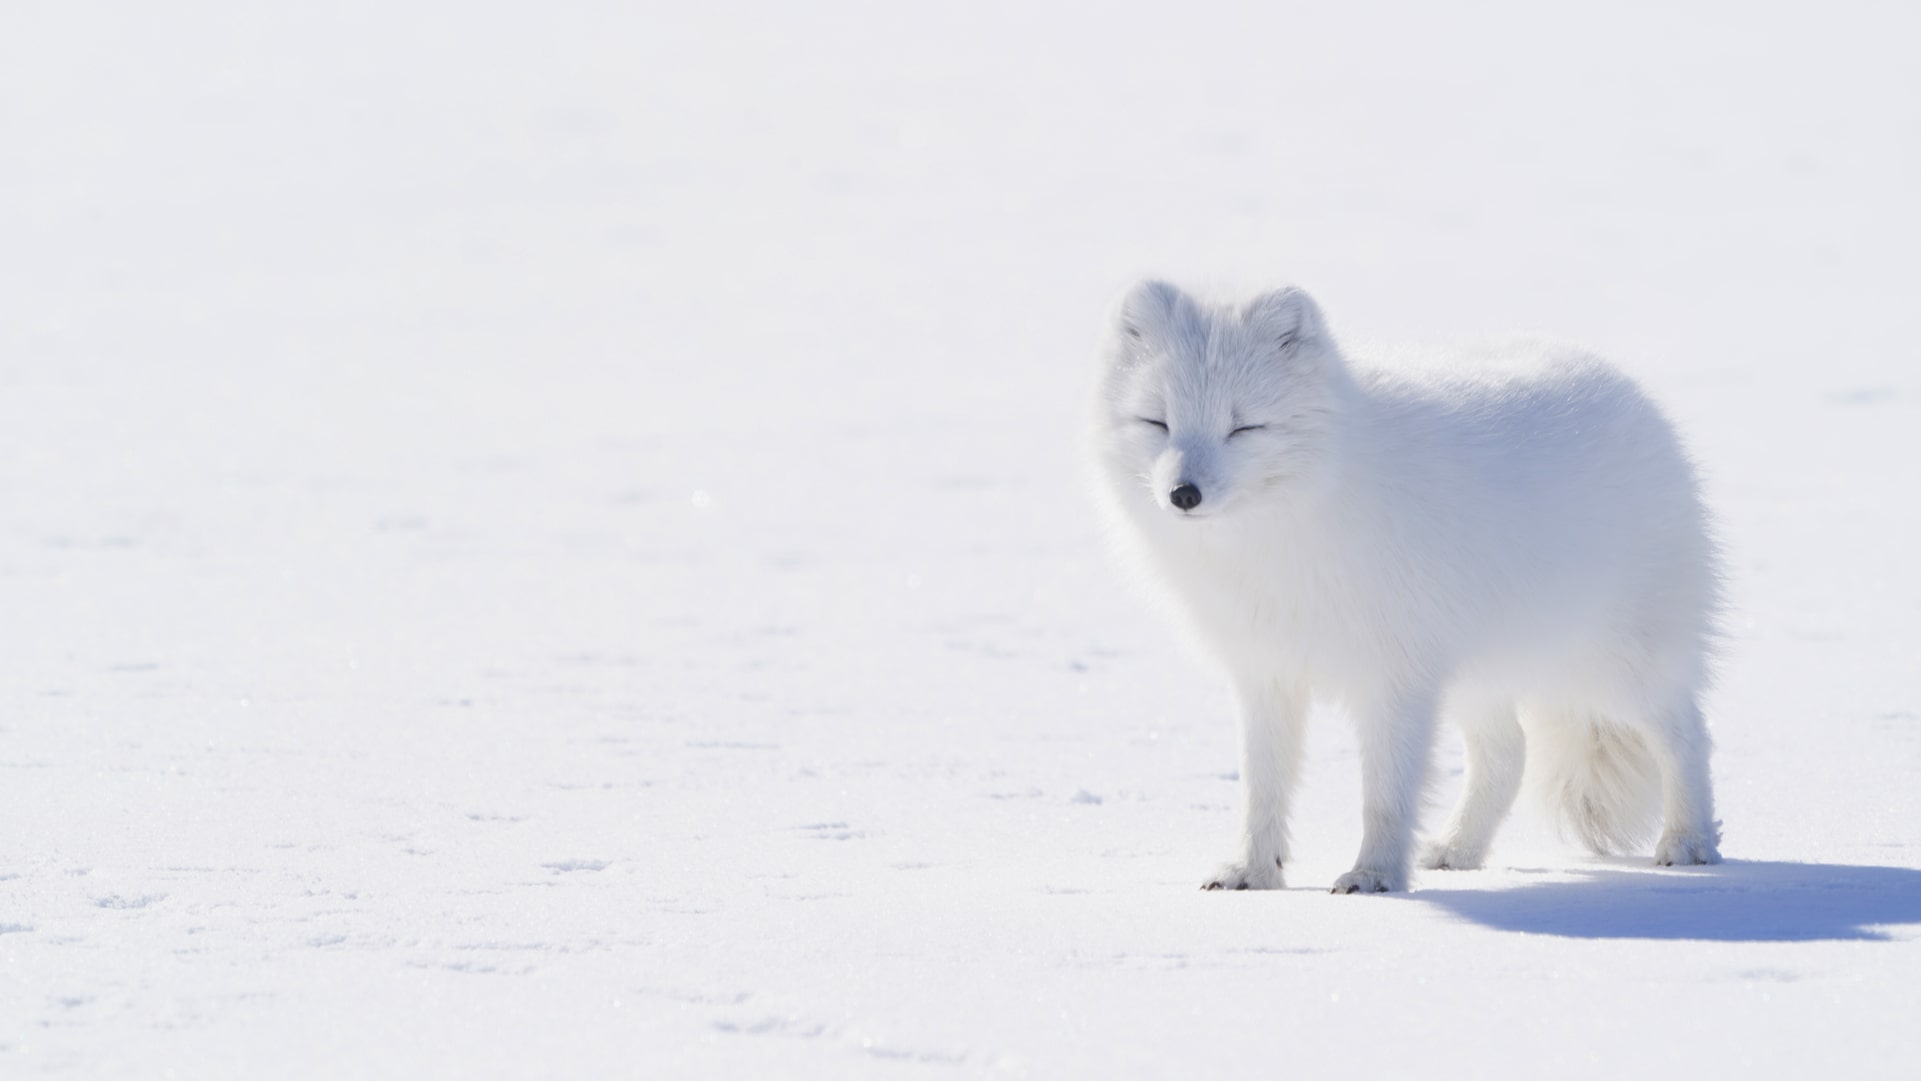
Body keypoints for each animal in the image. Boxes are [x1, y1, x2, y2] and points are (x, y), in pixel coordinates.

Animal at [1098, 282, 1728, 898]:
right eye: (1157, 422)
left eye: (1244, 426)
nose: (1184, 494)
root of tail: (1631, 392)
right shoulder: (1266, 673)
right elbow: (1262, 789)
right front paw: (1253, 872)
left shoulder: (1394, 677)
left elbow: (1384, 794)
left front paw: (1373, 876)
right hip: (1477, 674)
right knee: (1509, 754)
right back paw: (1458, 849)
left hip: (1615, 669)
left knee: (1688, 734)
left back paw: (1689, 842)